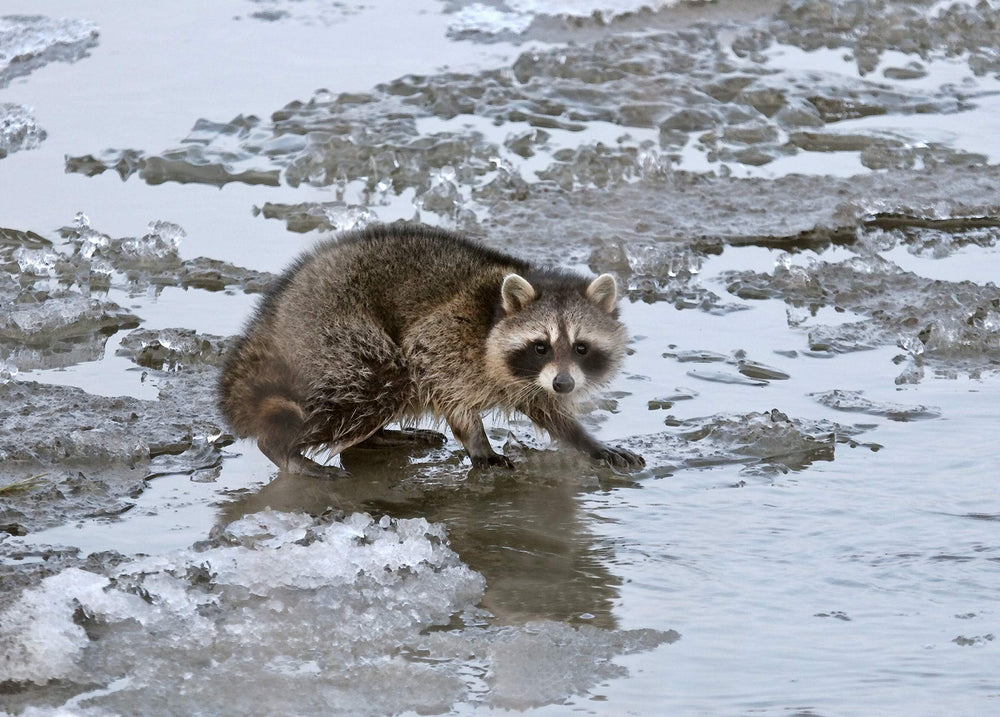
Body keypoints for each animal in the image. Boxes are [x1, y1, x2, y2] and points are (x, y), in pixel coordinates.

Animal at [218, 224, 644, 476]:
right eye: (541, 346)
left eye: (581, 347)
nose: (564, 384)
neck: (495, 314)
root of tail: (275, 312)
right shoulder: (449, 332)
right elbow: (433, 370)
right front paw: (478, 440)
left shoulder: (531, 379)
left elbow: (545, 408)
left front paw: (586, 441)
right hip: (334, 328)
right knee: (377, 379)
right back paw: (283, 448)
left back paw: (376, 436)